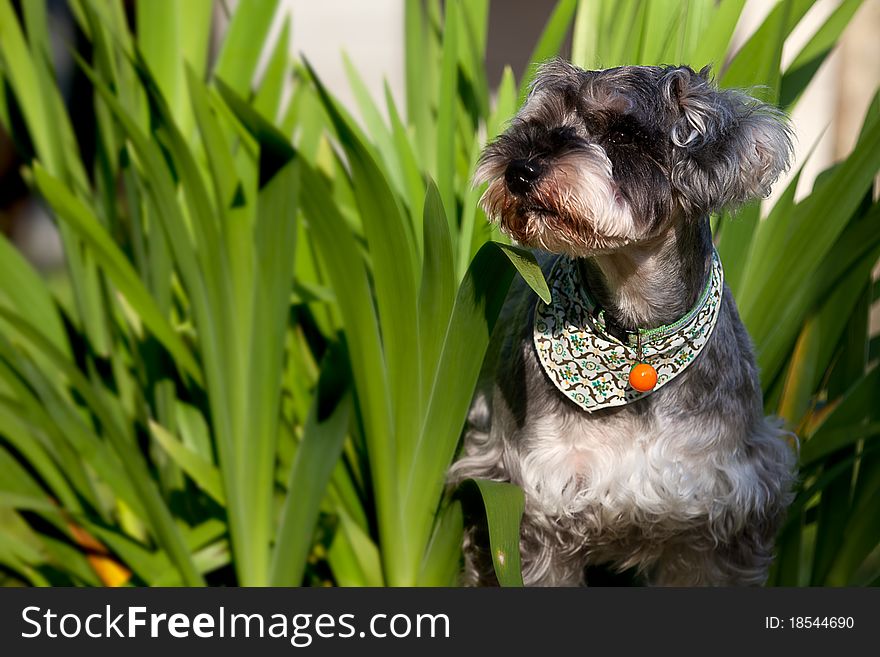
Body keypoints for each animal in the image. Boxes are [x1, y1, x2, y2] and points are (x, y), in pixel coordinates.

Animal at [450, 60, 800, 584]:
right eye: (538, 121)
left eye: (621, 132)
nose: (519, 170)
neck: (634, 338)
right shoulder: (536, 513)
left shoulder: (723, 520)